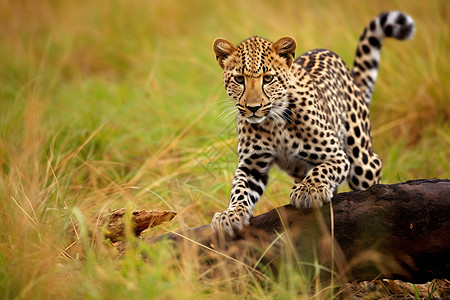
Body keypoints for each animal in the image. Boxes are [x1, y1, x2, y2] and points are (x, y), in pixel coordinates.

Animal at [211, 11, 414, 237]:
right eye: (239, 79)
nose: (253, 107)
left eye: (268, 78)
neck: (273, 123)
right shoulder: (252, 165)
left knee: (372, 168)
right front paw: (230, 214)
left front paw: (308, 190)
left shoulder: (336, 156)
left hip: (361, 160)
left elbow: (322, 170)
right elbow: (239, 189)